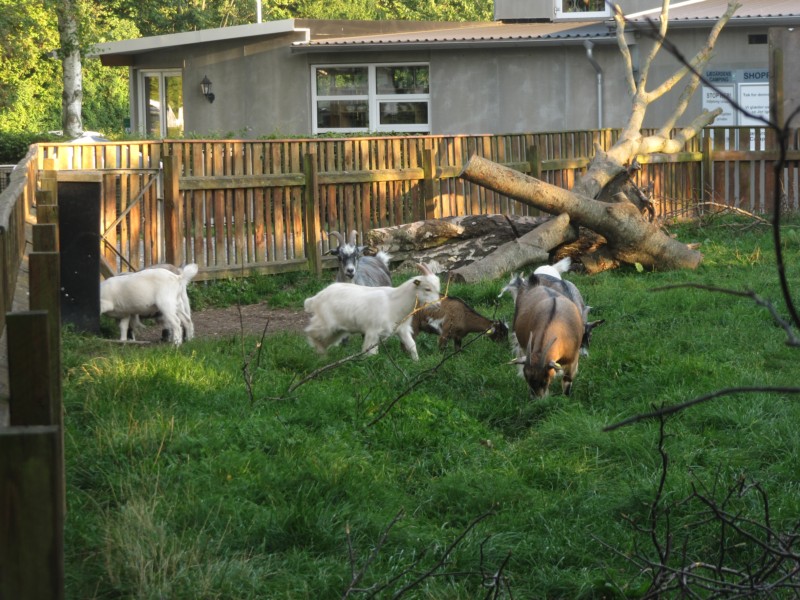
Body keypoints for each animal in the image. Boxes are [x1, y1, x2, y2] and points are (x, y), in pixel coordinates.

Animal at [306, 264, 444, 360]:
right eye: (427, 289)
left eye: (437, 289)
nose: (438, 305)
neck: (394, 302)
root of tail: (316, 298)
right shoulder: (373, 331)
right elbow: (371, 353)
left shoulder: (402, 329)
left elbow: (412, 345)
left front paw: (416, 361)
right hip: (326, 324)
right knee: (311, 332)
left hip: (338, 330)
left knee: (323, 341)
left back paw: (323, 357)